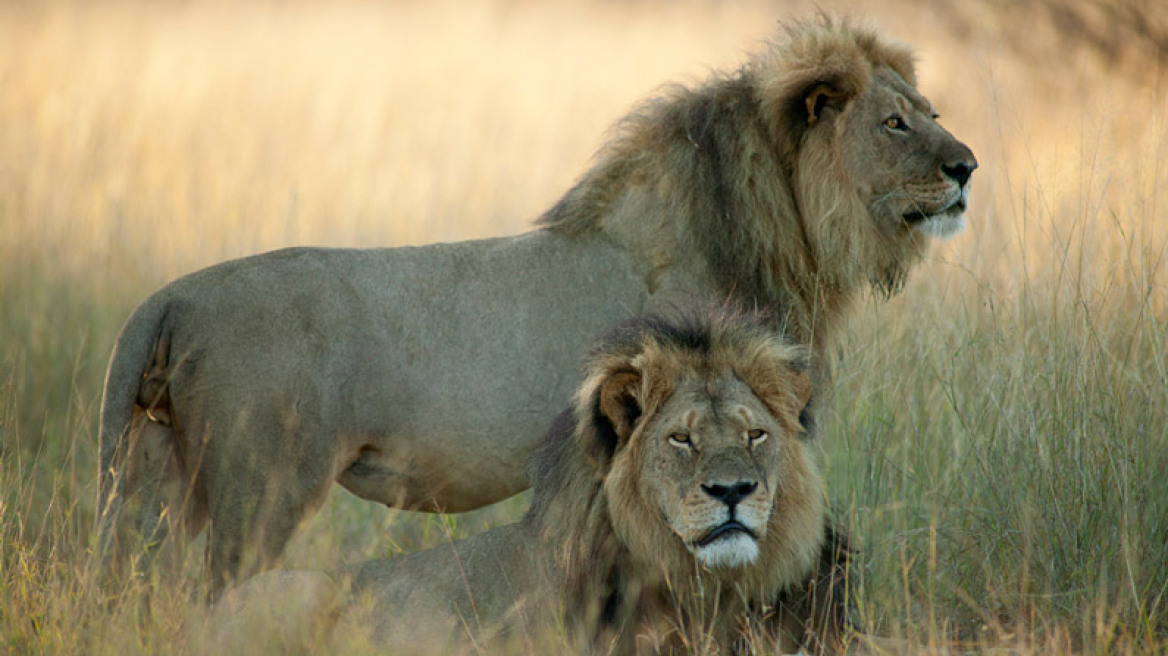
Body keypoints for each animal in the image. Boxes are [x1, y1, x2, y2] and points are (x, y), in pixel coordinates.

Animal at [98, 12, 976, 590]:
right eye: (895, 124)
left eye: (933, 113)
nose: (968, 166)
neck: (788, 228)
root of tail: (169, 298)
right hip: (258, 489)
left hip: (159, 477)